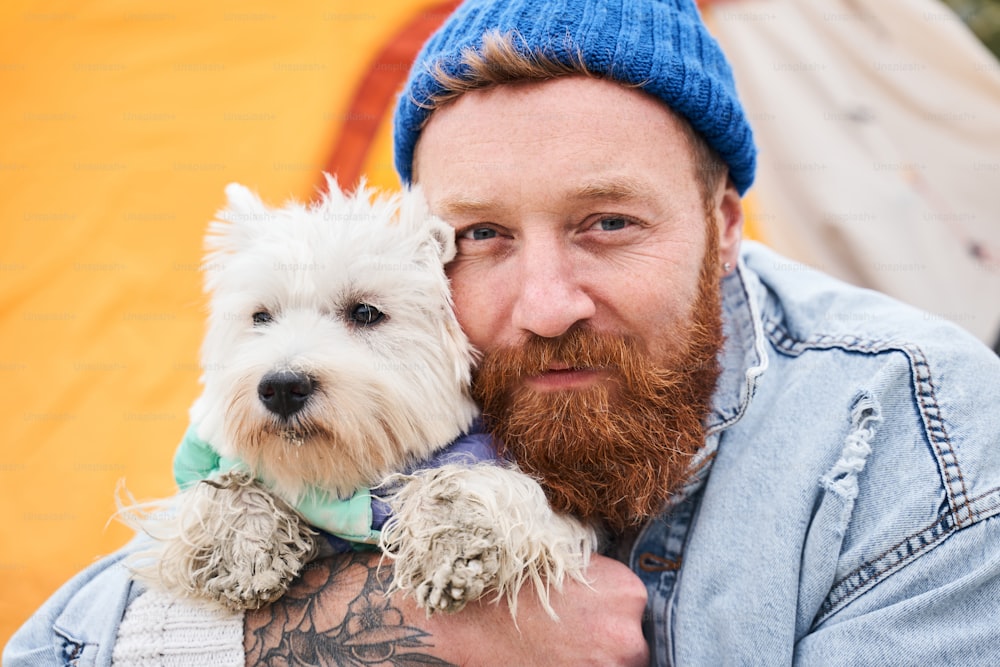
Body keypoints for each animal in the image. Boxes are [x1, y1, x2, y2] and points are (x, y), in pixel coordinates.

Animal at [125, 176, 592, 616]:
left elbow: (468, 481)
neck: (337, 483)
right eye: (260, 317)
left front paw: (451, 544)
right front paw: (246, 551)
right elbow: (221, 486)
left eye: (365, 312)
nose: (282, 388)